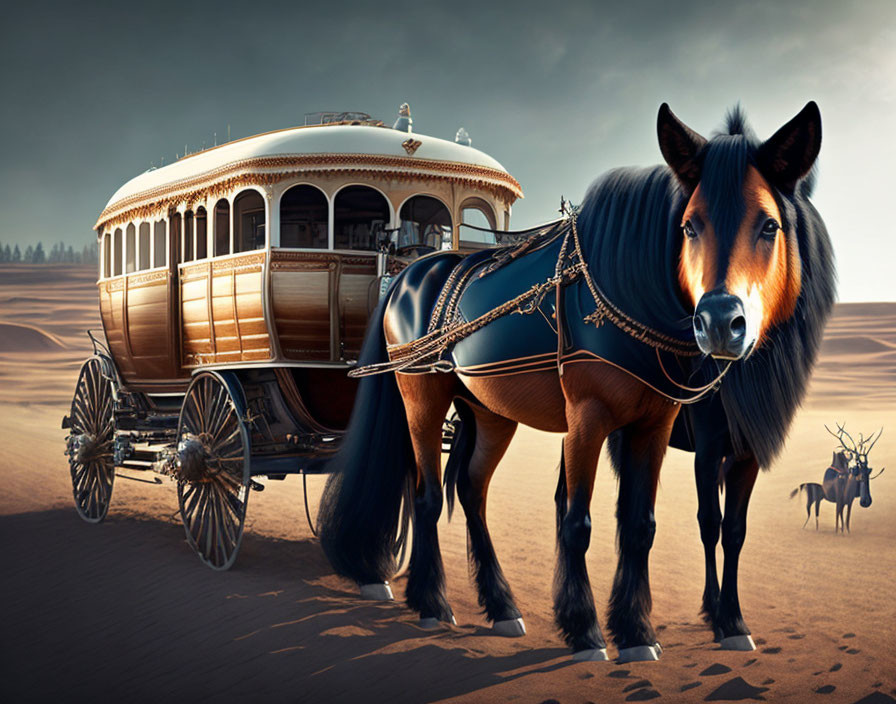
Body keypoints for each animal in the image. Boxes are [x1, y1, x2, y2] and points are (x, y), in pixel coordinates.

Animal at [318, 102, 836, 664]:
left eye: (770, 226)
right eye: (688, 227)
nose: (720, 323)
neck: (629, 295)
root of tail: (409, 273)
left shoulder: (669, 429)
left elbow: (653, 525)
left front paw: (647, 631)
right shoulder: (601, 422)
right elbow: (585, 521)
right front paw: (588, 630)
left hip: (489, 411)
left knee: (472, 490)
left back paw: (501, 607)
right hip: (421, 400)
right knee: (428, 495)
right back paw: (432, 603)